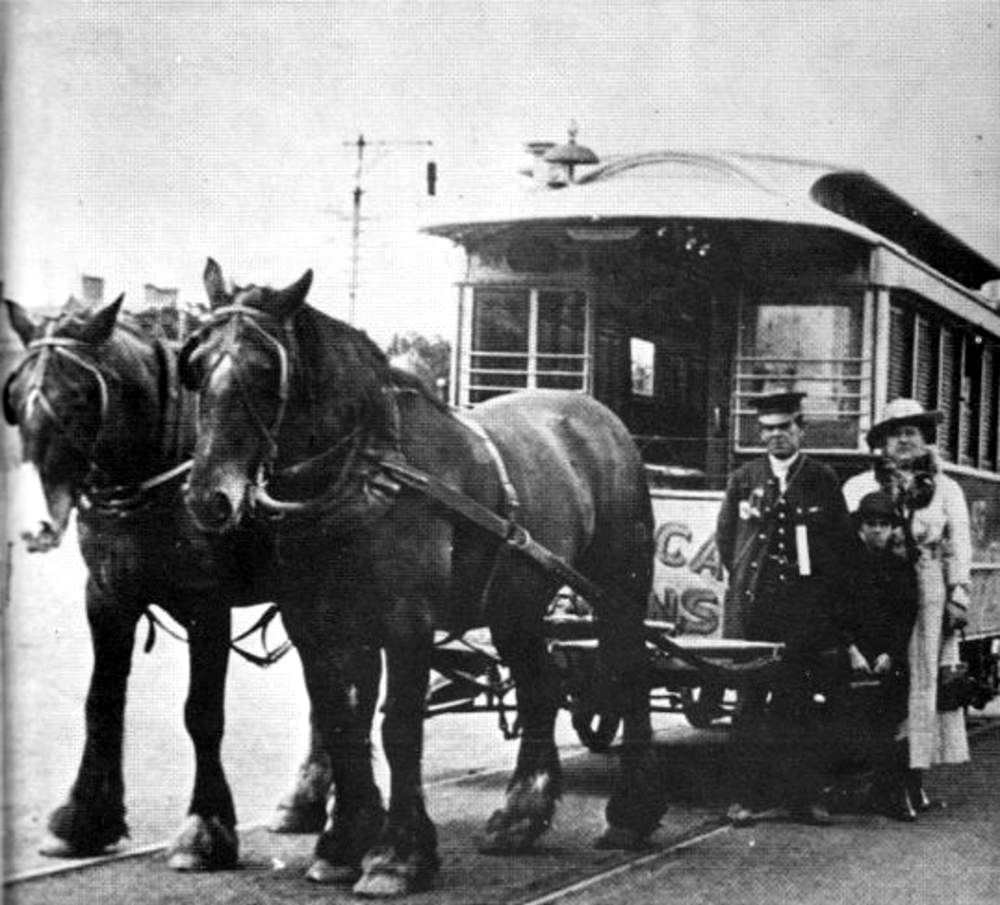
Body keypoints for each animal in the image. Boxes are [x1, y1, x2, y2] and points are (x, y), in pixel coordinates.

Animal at [2, 296, 344, 868]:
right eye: (13, 396)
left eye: (78, 395)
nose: (34, 526)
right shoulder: (106, 599)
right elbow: (101, 703)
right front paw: (84, 819)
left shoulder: (207, 606)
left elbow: (201, 714)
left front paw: (205, 828)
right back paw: (305, 802)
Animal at [182, 260, 664, 896]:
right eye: (195, 364)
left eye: (265, 370)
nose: (208, 499)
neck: (363, 470)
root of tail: (600, 417)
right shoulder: (318, 626)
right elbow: (341, 722)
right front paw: (342, 843)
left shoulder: (405, 622)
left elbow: (398, 728)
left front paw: (398, 855)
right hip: (515, 606)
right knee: (540, 686)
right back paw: (521, 816)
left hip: (618, 590)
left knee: (629, 673)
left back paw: (632, 812)